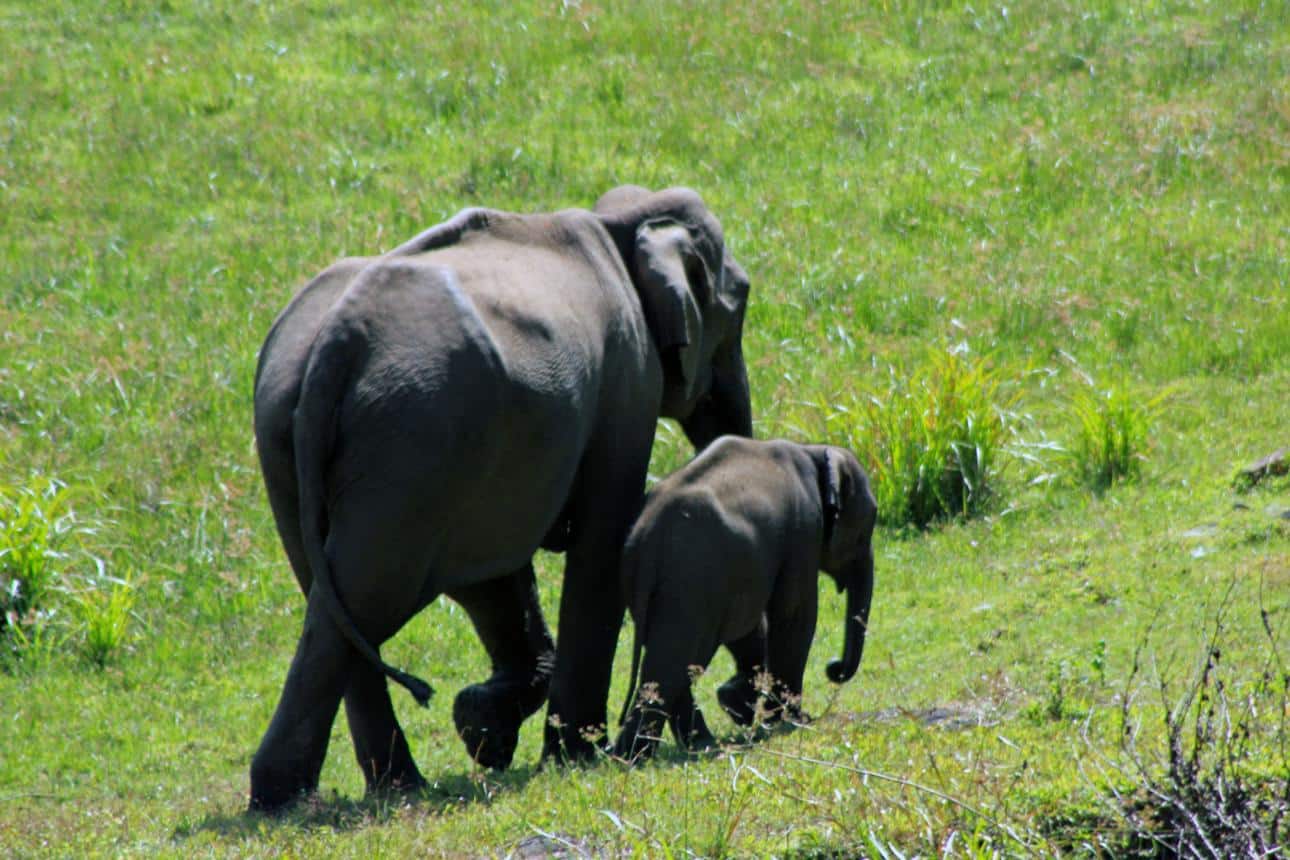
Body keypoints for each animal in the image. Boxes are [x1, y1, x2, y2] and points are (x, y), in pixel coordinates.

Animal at [249, 185, 753, 811]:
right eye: (742, 303)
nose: (741, 698)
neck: (620, 222)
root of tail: (334, 344)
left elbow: (492, 576)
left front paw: (482, 730)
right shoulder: (627, 375)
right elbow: (601, 535)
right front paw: (571, 754)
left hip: (304, 436)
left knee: (336, 602)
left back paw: (363, 789)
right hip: (415, 433)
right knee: (368, 595)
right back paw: (309, 795)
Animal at [611, 437, 876, 762]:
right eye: (863, 534)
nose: (834, 667)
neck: (815, 451)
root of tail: (647, 540)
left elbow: (749, 627)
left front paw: (737, 706)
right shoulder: (804, 529)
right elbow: (795, 615)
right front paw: (792, 721)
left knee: (672, 660)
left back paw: (677, 747)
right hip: (690, 583)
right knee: (677, 660)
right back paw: (643, 755)